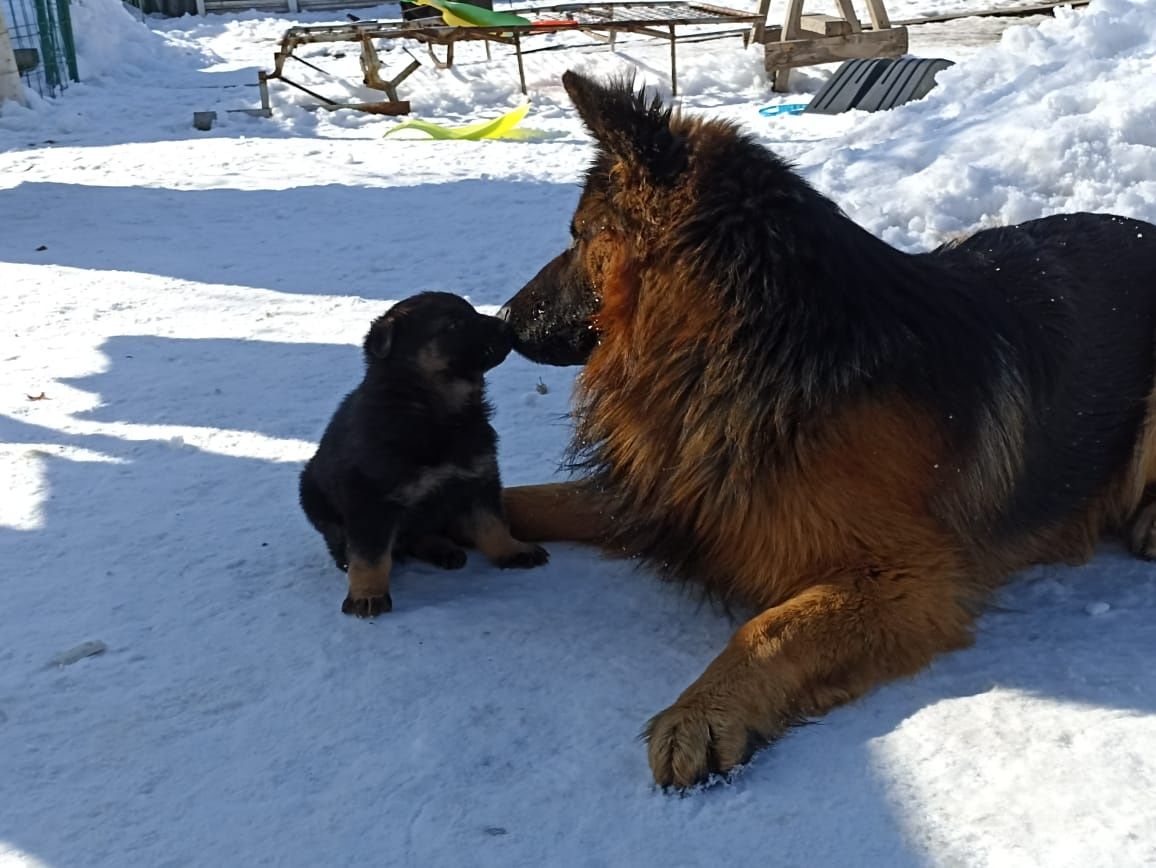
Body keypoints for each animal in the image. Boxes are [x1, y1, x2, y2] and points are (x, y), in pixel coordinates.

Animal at [298, 292, 550, 619]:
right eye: (453, 324)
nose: (508, 327)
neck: (436, 411)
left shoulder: (478, 476)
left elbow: (492, 522)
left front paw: (512, 550)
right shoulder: (369, 498)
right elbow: (369, 554)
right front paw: (367, 594)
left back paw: (443, 549)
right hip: (311, 493)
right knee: (346, 541)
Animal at [494, 73, 1156, 785]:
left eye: (581, 234)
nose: (501, 320)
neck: (752, 347)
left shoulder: (905, 579)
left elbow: (770, 628)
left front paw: (703, 710)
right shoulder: (674, 498)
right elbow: (525, 498)